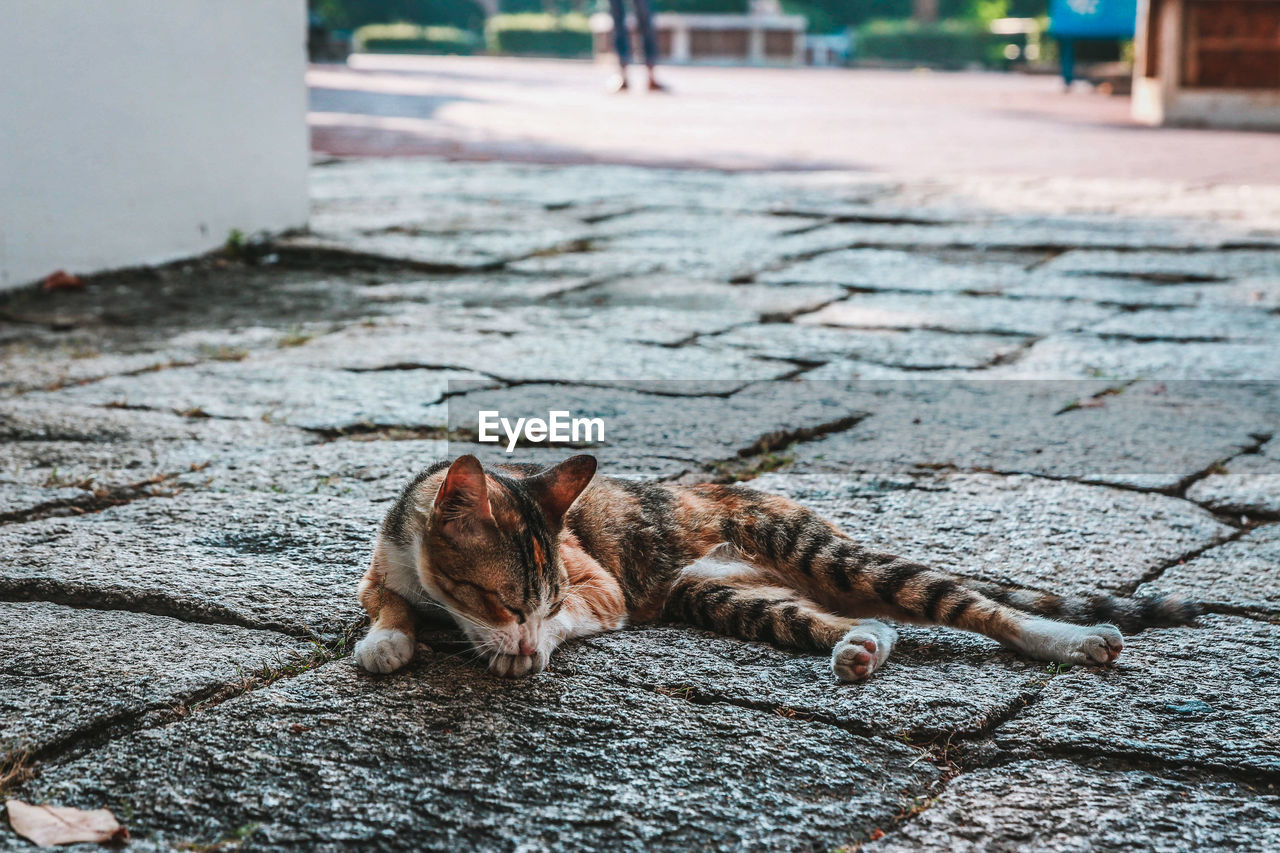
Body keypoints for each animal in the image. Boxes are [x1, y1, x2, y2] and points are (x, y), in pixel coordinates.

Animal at [353, 455, 1198, 681]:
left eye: (540, 601)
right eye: (501, 598)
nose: (522, 640)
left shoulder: (602, 588)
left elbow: (578, 613)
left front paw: (520, 653)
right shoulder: (379, 570)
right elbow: (385, 603)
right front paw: (387, 641)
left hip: (811, 547)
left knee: (975, 605)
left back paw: (1075, 641)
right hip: (722, 593)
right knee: (863, 619)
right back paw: (861, 645)